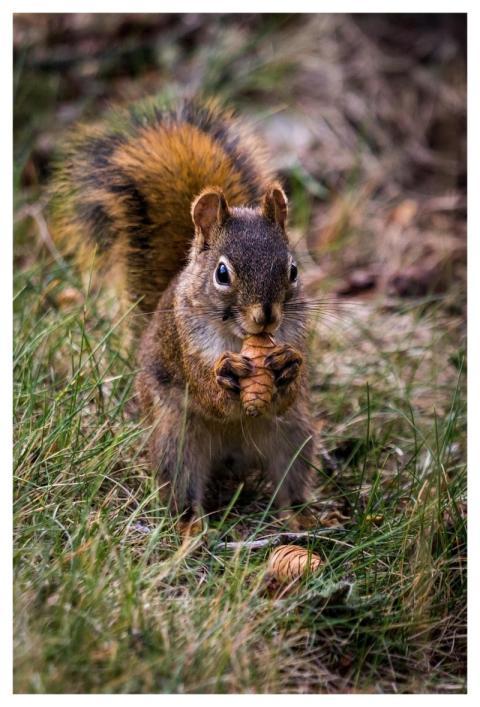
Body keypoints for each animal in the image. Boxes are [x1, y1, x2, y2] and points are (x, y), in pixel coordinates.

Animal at [49, 96, 315, 534]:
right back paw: (190, 524)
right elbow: (205, 389)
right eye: (222, 274)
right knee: (182, 485)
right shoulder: (184, 343)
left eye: (293, 270)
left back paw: (300, 514)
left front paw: (287, 365)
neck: (237, 338)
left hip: (293, 434)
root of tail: (232, 456)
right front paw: (226, 375)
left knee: (288, 477)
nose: (266, 317)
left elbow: (288, 391)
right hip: (178, 438)